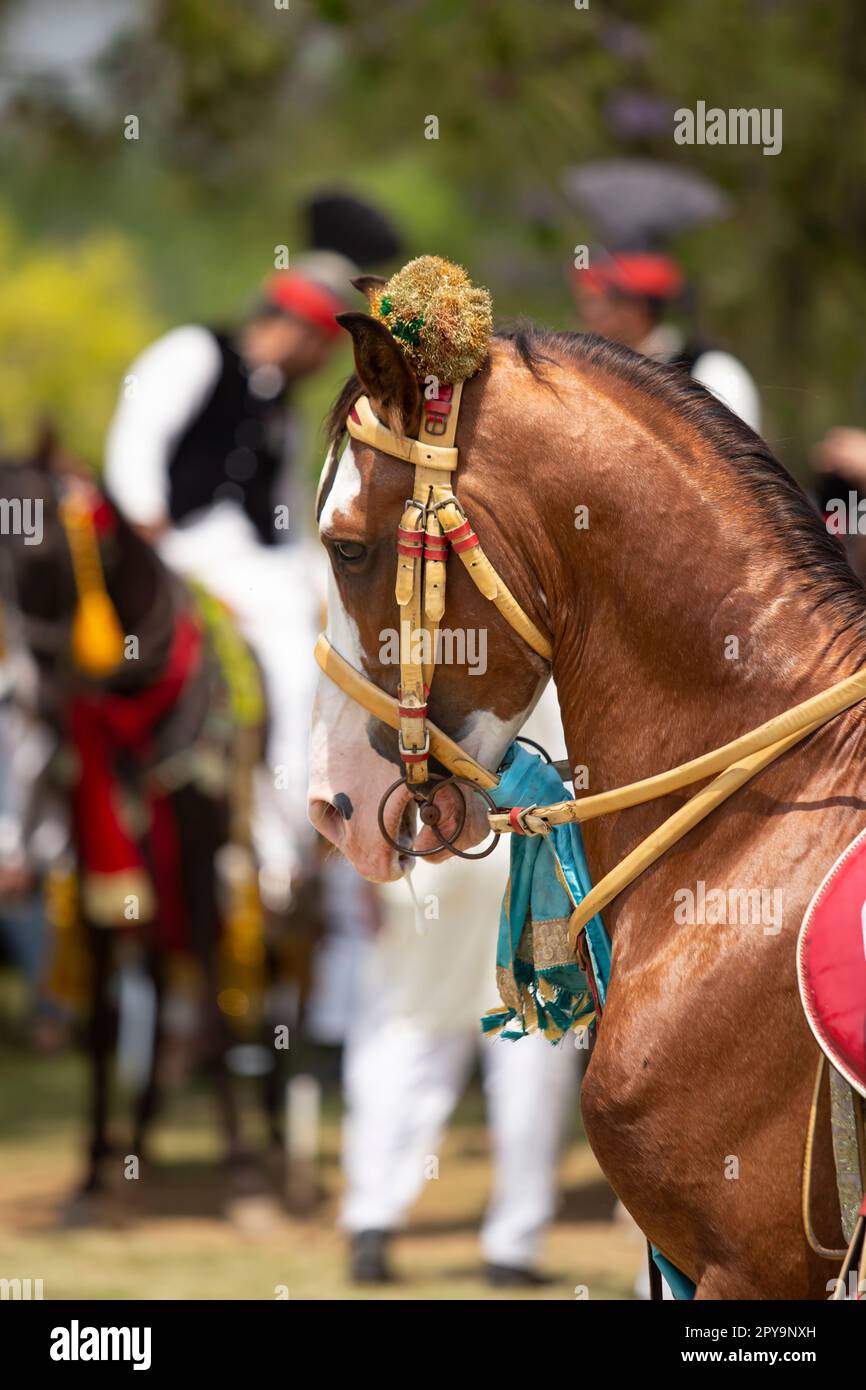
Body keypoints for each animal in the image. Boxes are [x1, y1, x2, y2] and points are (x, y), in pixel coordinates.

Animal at [0, 444, 316, 1206]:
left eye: (42, 546)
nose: (22, 694)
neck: (133, 700)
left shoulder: (200, 855)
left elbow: (210, 993)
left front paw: (241, 1170)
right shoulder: (99, 859)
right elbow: (105, 1016)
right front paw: (91, 1172)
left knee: (279, 976)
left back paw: (281, 1146)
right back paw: (141, 1141)